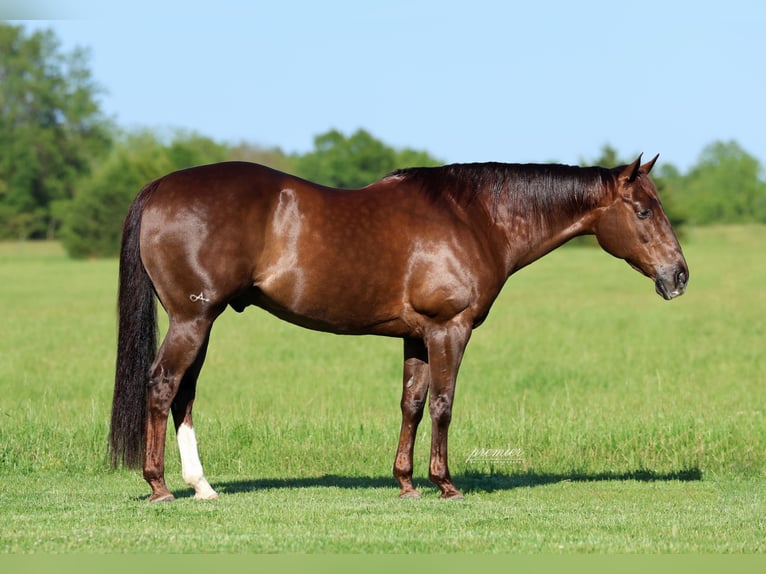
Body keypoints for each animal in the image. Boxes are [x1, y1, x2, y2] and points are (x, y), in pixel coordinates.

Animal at [109, 154, 688, 502]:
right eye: (643, 210)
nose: (679, 275)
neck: (474, 217)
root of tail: (159, 187)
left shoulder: (416, 336)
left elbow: (411, 403)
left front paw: (406, 483)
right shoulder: (449, 330)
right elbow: (443, 404)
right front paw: (445, 484)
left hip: (201, 324)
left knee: (183, 395)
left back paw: (201, 486)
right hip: (192, 320)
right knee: (162, 387)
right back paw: (161, 486)